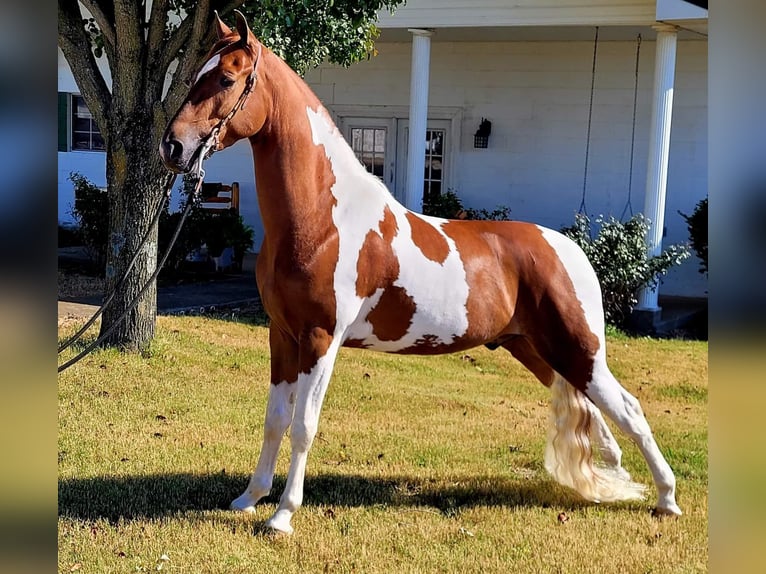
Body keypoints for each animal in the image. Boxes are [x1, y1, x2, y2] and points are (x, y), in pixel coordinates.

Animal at [160, 11, 684, 536]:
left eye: (226, 79)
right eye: (194, 74)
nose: (172, 146)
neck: (321, 219)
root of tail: (569, 250)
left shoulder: (320, 338)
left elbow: (304, 426)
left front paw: (283, 514)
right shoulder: (282, 335)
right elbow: (275, 419)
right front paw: (249, 499)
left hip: (579, 350)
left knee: (630, 409)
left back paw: (666, 499)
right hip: (537, 351)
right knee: (595, 414)